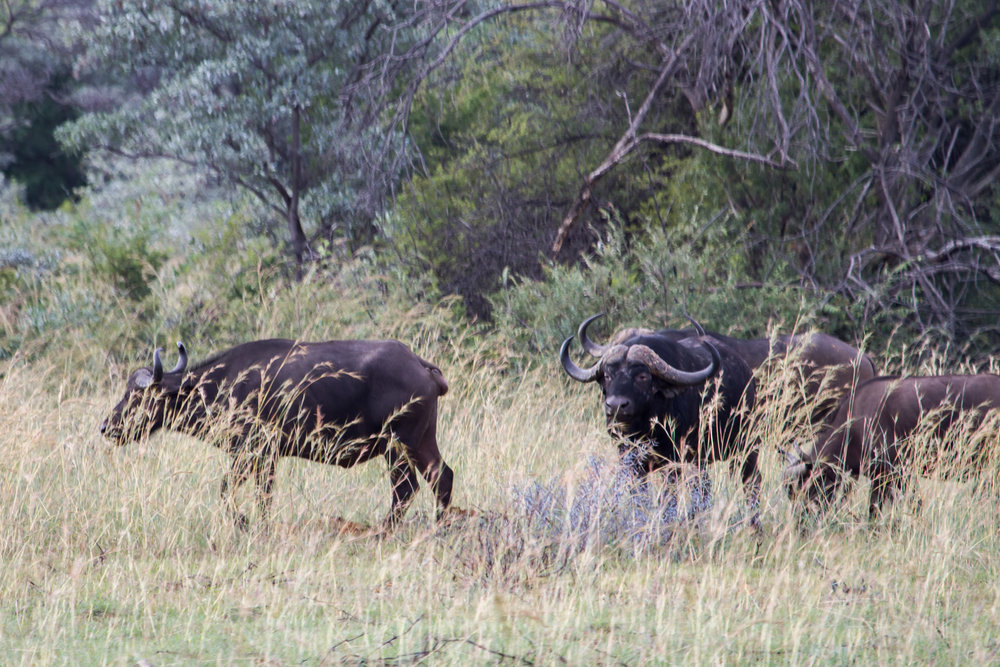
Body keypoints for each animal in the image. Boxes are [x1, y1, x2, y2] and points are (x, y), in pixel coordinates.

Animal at [100, 340, 454, 532]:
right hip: (421, 442)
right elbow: (260, 494)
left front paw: (246, 523)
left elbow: (230, 491)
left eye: (139, 395)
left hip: (400, 445)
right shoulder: (264, 458)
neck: (224, 386)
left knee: (405, 489)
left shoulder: (253, 451)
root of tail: (420, 365)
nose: (107, 426)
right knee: (442, 477)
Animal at [784, 376, 1000, 516]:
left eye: (806, 490)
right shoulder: (891, 477)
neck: (856, 423)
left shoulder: (890, 473)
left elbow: (879, 509)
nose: (800, 525)